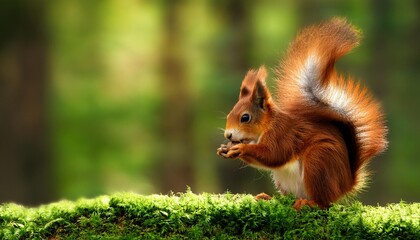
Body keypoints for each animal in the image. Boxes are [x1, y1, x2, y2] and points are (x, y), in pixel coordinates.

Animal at [218, 17, 388, 209]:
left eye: (245, 117)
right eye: (228, 115)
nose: (228, 135)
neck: (264, 128)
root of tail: (345, 185)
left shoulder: (283, 134)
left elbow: (273, 154)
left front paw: (241, 148)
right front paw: (225, 149)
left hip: (318, 162)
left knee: (324, 202)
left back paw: (308, 203)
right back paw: (269, 197)